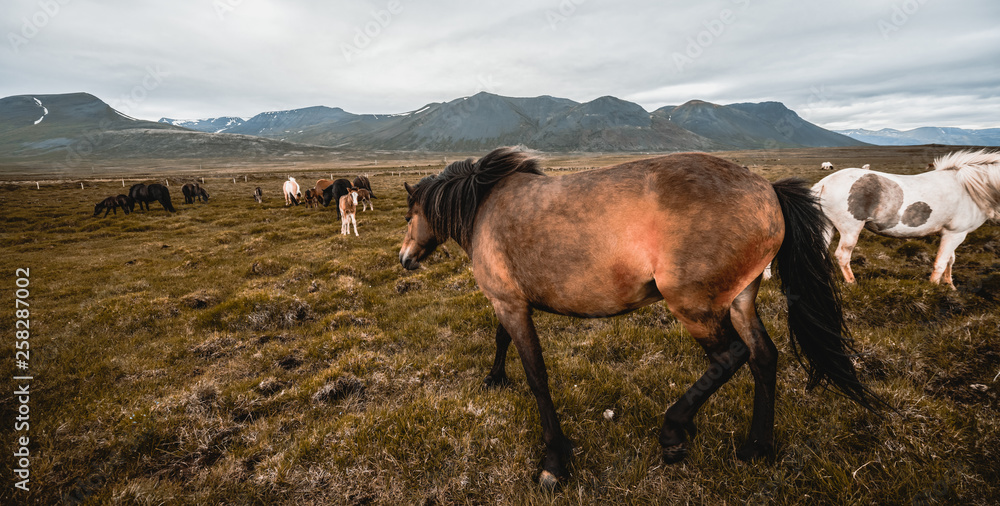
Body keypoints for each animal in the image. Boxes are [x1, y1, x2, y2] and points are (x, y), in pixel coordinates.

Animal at [400, 146, 884, 486]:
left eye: (410, 215)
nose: (405, 258)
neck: (485, 207)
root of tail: (768, 191)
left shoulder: (510, 304)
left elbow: (537, 377)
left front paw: (555, 461)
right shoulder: (509, 302)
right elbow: (502, 341)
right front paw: (495, 377)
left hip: (694, 305)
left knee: (731, 356)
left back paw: (674, 433)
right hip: (740, 299)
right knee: (763, 357)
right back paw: (756, 448)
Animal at [812, 148, 1000, 286]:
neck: (967, 187)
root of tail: (824, 183)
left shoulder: (952, 233)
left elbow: (950, 260)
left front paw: (950, 286)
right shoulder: (955, 234)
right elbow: (941, 262)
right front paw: (933, 289)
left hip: (828, 226)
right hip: (850, 230)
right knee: (843, 256)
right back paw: (853, 284)